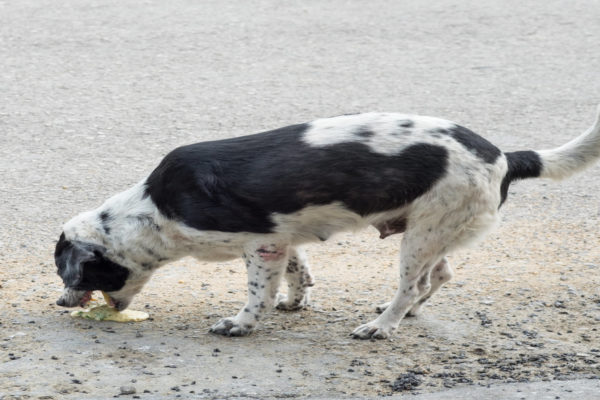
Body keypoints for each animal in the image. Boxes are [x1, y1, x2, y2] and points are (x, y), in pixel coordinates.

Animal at [55, 105, 600, 338]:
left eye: (69, 273)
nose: (59, 303)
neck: (154, 211)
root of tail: (505, 156)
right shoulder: (281, 239)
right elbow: (298, 273)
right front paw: (296, 303)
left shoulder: (259, 246)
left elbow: (258, 293)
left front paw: (242, 324)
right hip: (435, 231)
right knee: (439, 276)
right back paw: (408, 313)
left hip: (423, 235)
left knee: (412, 284)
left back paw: (382, 325)